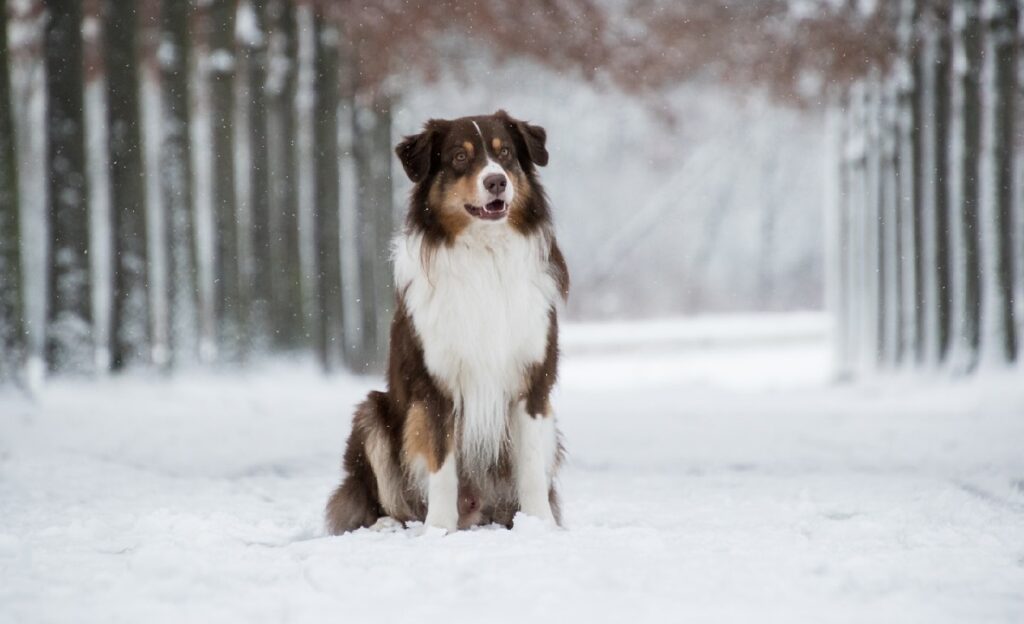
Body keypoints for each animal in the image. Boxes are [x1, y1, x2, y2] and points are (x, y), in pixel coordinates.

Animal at [323, 110, 569, 528]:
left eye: (505, 154)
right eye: (459, 157)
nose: (496, 181)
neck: (485, 253)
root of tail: (478, 510)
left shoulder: (533, 381)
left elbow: (532, 469)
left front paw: (540, 526)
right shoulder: (435, 385)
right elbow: (441, 468)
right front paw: (439, 531)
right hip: (371, 413)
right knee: (383, 499)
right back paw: (392, 524)